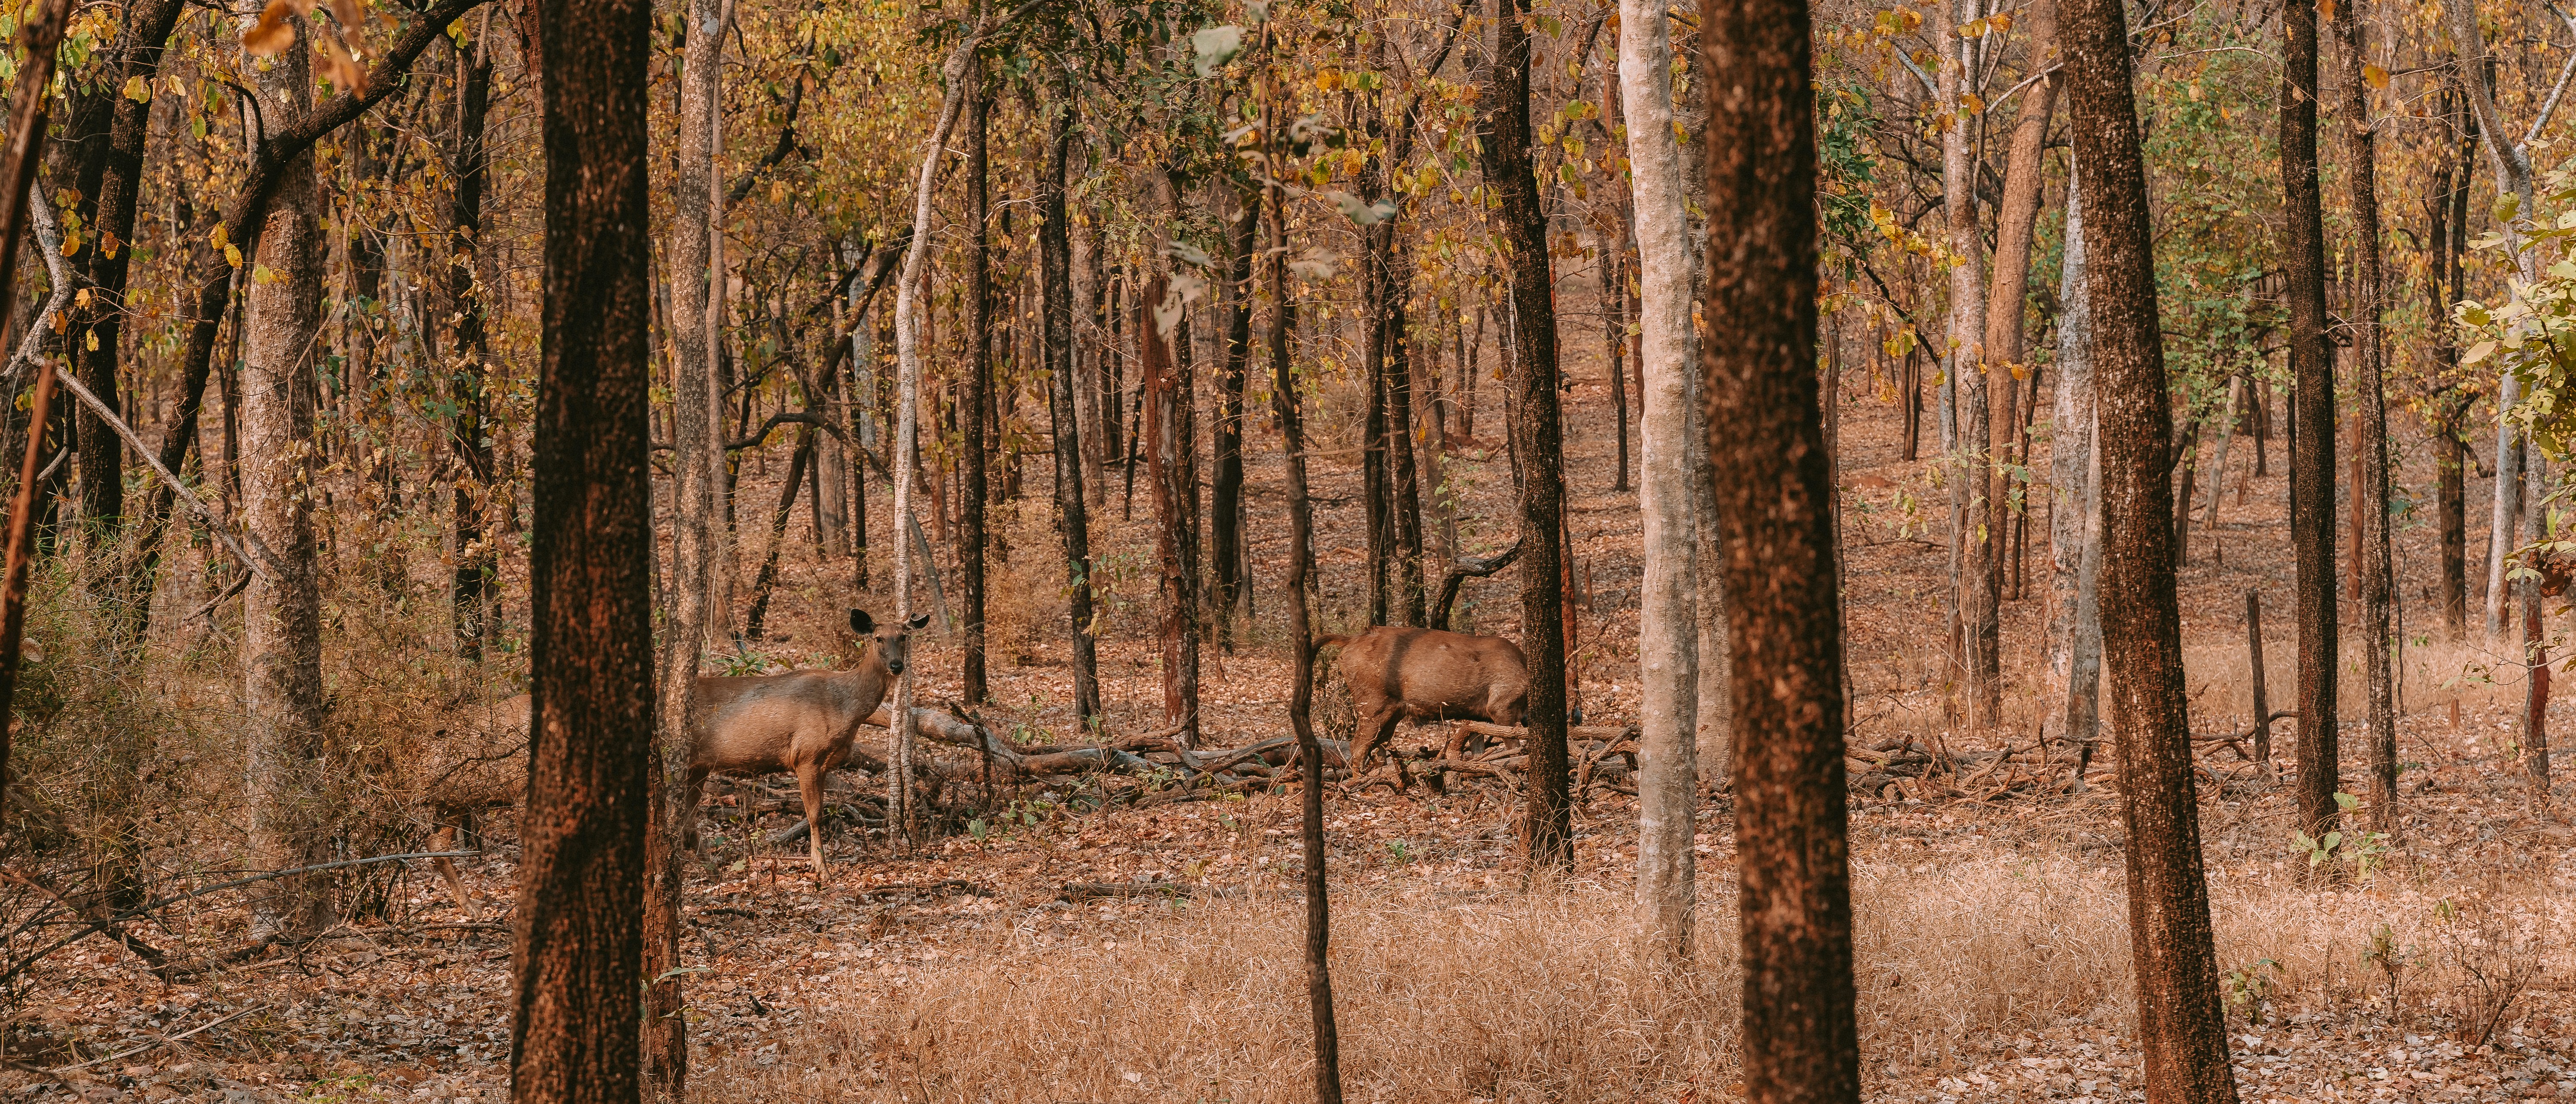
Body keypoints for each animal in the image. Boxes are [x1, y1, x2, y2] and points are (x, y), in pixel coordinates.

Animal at [1318, 626, 1529, 786]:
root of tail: (1349, 641)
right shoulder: (1502, 705)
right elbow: (1513, 746)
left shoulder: (1476, 716)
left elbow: (1479, 752)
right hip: (1373, 703)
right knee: (1358, 746)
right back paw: (1360, 783)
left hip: (1393, 712)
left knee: (1377, 746)